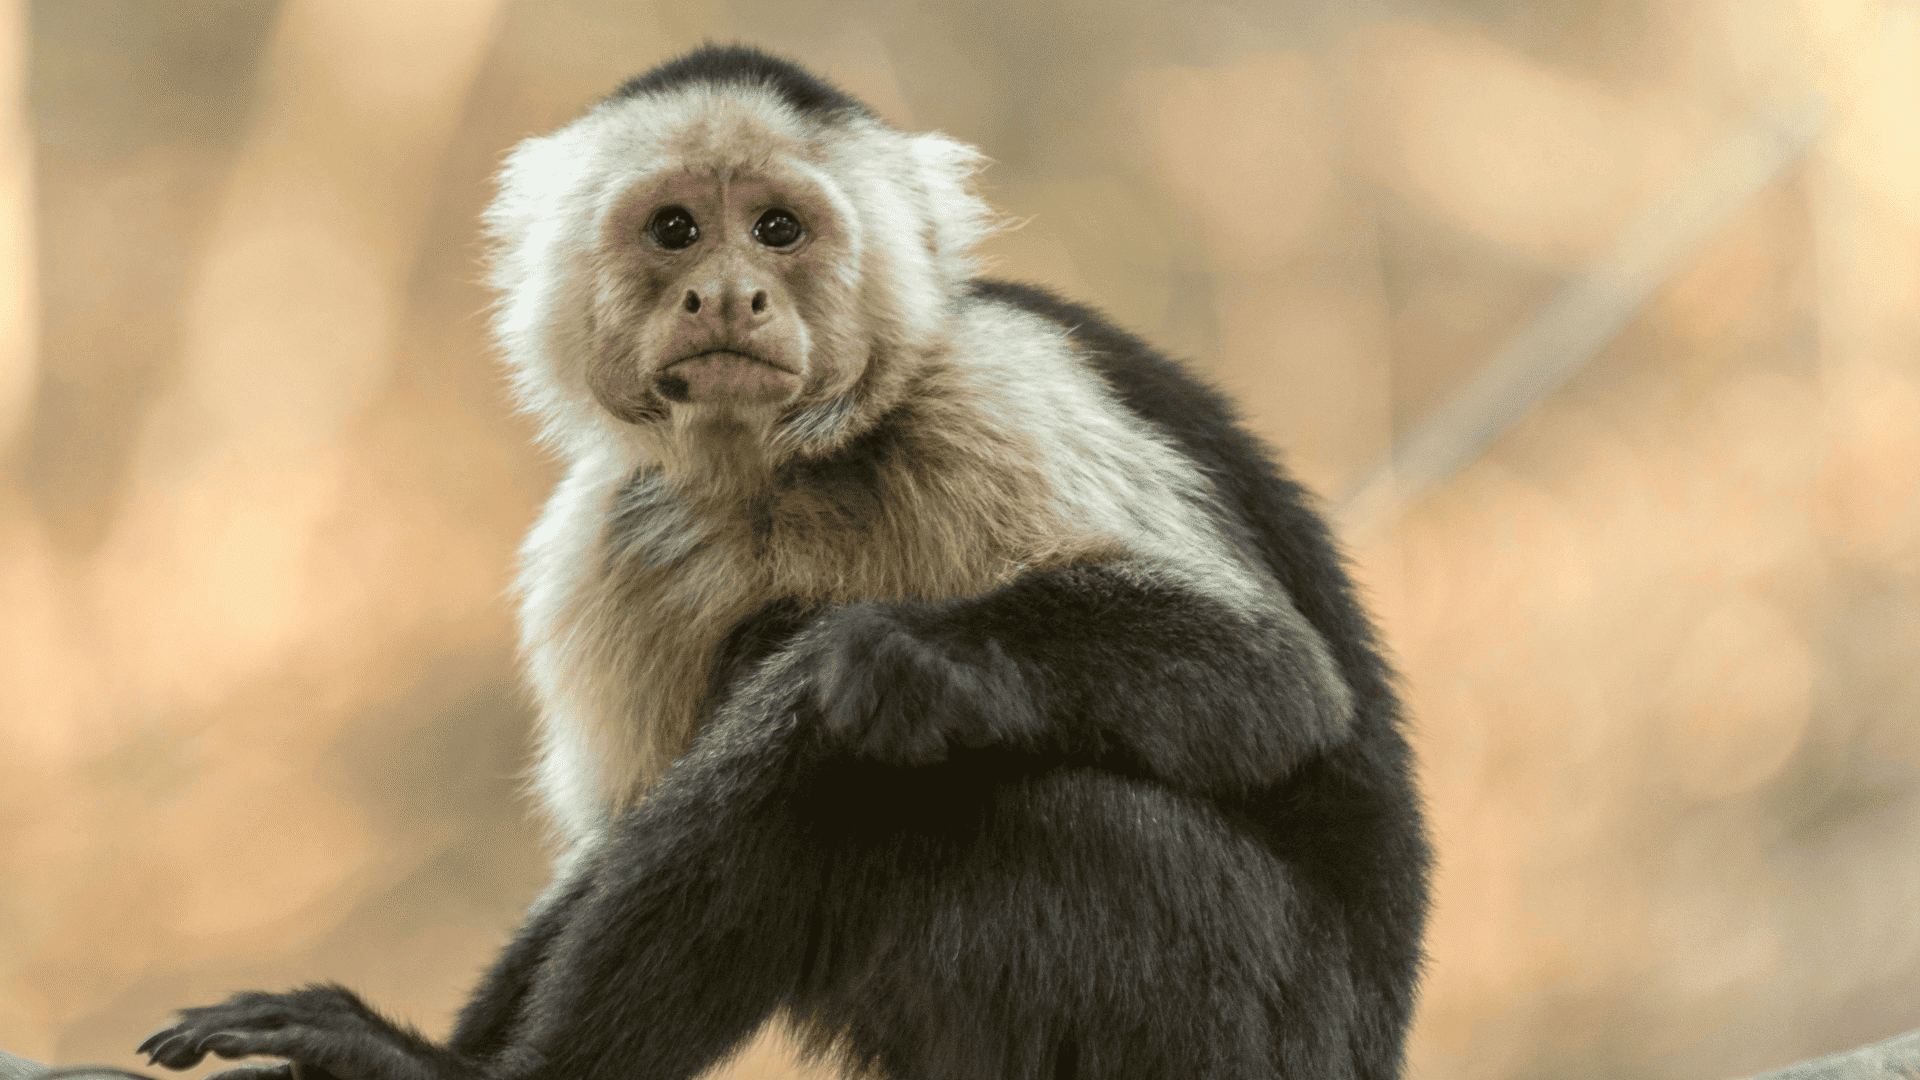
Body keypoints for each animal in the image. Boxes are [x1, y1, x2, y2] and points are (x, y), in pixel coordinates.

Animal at [137, 45, 1429, 1080]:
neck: (789, 471)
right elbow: (615, 839)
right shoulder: (611, 530)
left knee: (867, 753)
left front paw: (911, 654)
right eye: (675, 230)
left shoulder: (993, 390)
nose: (725, 293)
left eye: (777, 229)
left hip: (1247, 1010)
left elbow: (1271, 679)